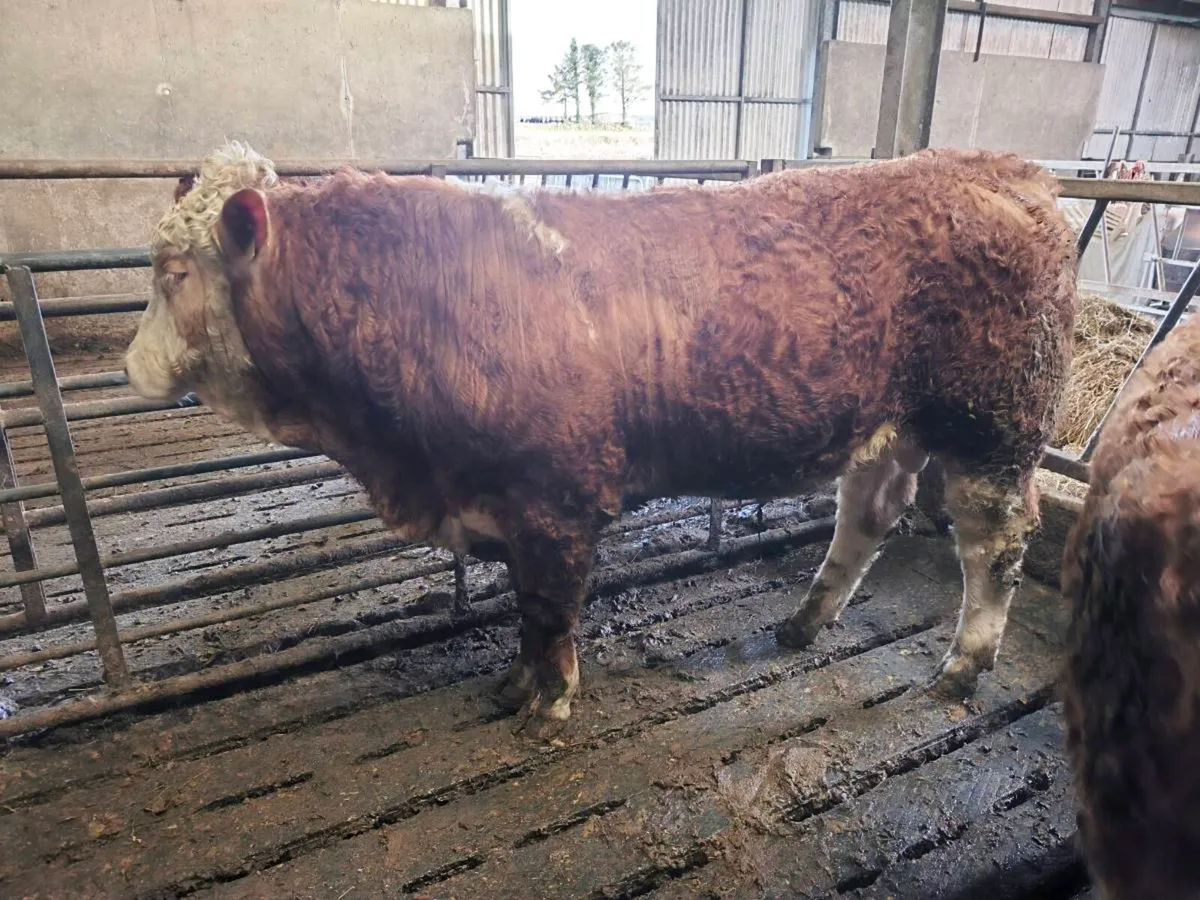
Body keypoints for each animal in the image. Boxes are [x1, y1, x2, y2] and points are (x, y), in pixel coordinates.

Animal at [125, 142, 1077, 739]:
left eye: (172, 273)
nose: (130, 366)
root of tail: (1004, 169)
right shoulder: (504, 506)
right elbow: (524, 611)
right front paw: (513, 686)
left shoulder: (557, 501)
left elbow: (550, 611)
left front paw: (548, 708)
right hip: (897, 424)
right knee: (871, 512)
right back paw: (804, 623)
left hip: (995, 428)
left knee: (994, 547)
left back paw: (962, 669)